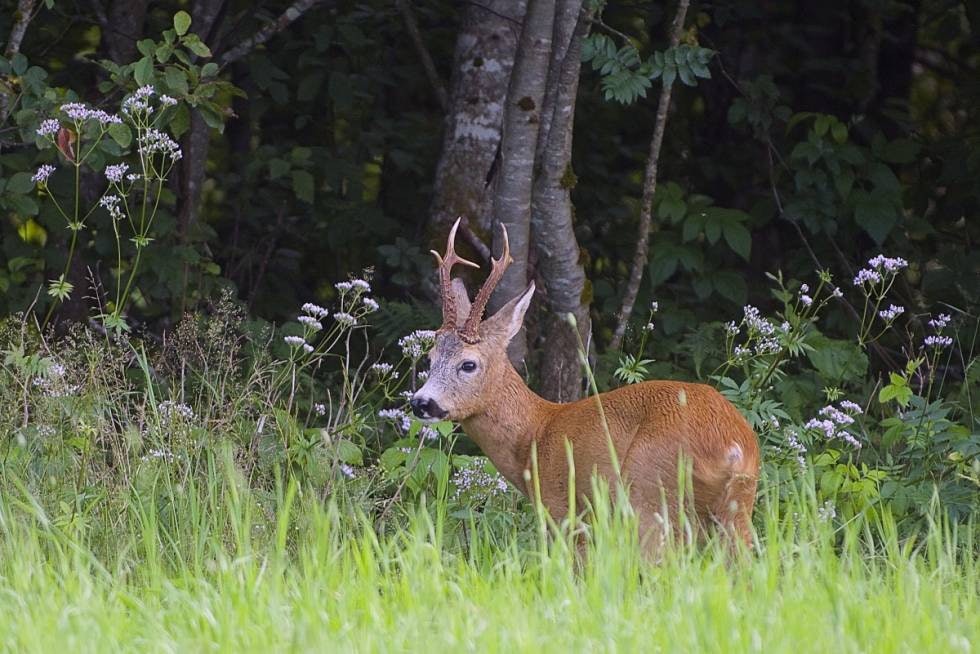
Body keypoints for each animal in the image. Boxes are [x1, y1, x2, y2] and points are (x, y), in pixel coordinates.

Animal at [410, 222, 760, 560]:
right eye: (430, 358)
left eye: (468, 364)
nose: (421, 402)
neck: (534, 435)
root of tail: (734, 446)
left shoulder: (564, 510)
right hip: (736, 506)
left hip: (649, 492)